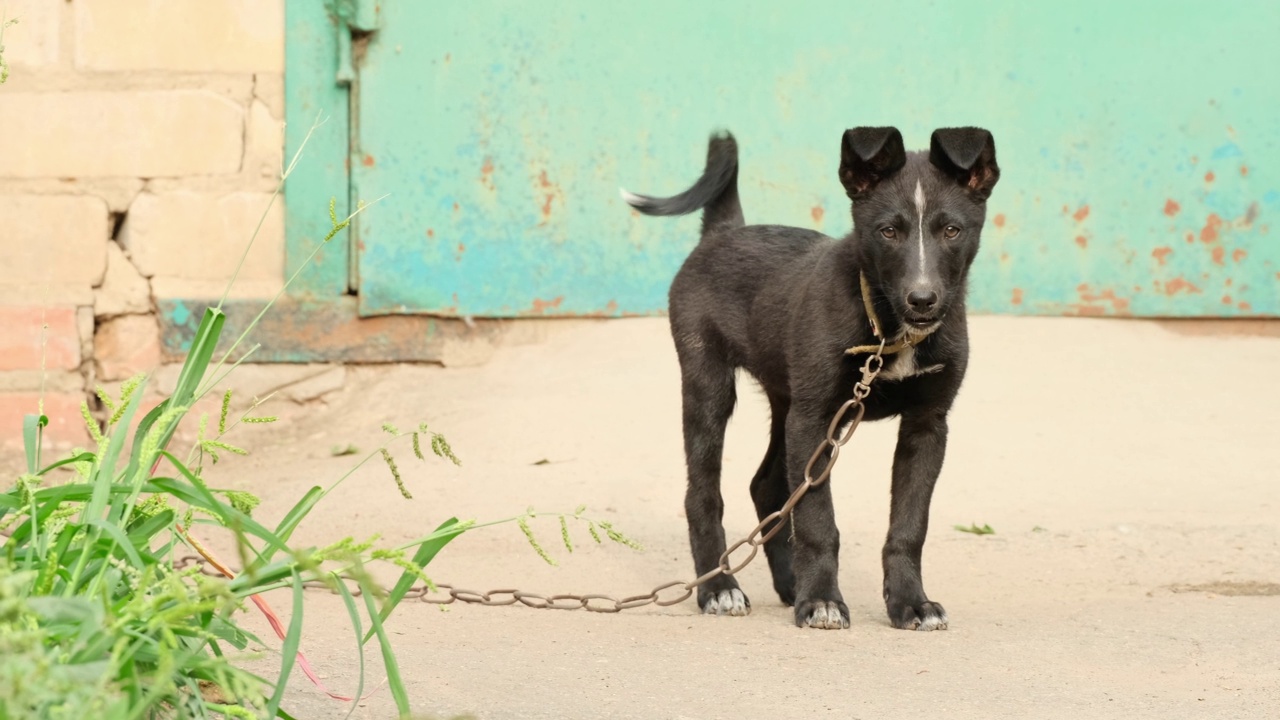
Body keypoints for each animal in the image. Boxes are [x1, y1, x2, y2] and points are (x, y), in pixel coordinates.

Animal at [619, 126, 998, 625]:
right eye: (888, 231)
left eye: (952, 230)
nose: (922, 300)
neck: (886, 329)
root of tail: (725, 230)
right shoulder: (817, 417)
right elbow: (818, 520)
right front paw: (821, 600)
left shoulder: (926, 425)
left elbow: (908, 526)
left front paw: (910, 602)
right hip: (709, 384)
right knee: (703, 494)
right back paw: (719, 588)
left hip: (787, 403)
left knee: (767, 487)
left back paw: (788, 582)